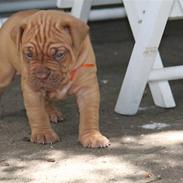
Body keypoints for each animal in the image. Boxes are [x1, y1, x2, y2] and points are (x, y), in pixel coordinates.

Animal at [0, 10, 109, 148]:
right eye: (29, 54)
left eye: (59, 54)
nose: (41, 75)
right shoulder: (32, 90)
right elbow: (37, 113)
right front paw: (43, 133)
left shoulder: (87, 90)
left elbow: (89, 115)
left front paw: (92, 136)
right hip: (4, 74)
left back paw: (52, 112)